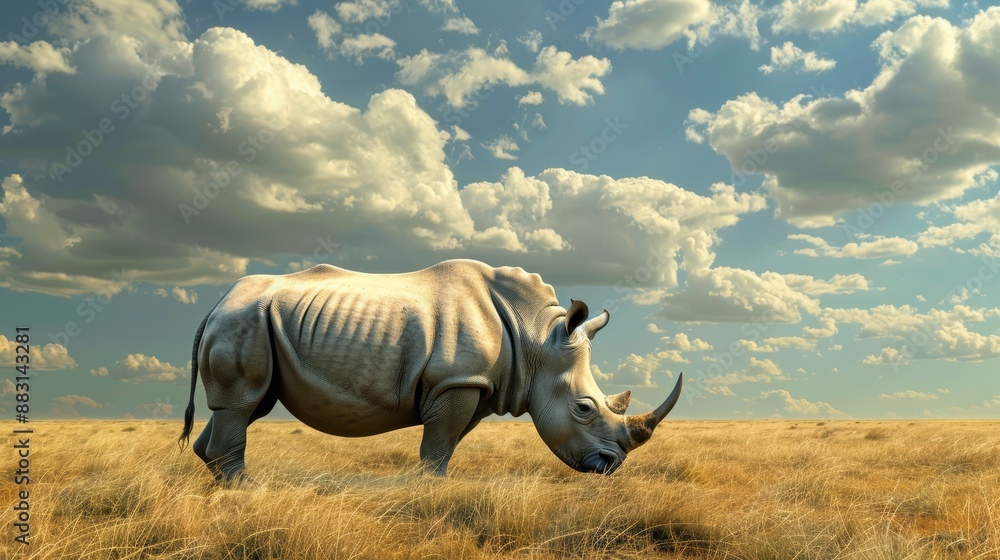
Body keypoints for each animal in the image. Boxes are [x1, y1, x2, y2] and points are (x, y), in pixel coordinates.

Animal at [179, 259, 682, 481]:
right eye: (583, 408)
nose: (612, 466)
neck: (537, 339)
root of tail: (216, 302)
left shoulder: (474, 384)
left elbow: (447, 442)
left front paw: (433, 484)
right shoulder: (455, 380)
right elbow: (438, 446)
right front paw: (433, 490)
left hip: (256, 322)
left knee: (248, 406)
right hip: (244, 321)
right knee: (242, 404)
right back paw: (246, 492)